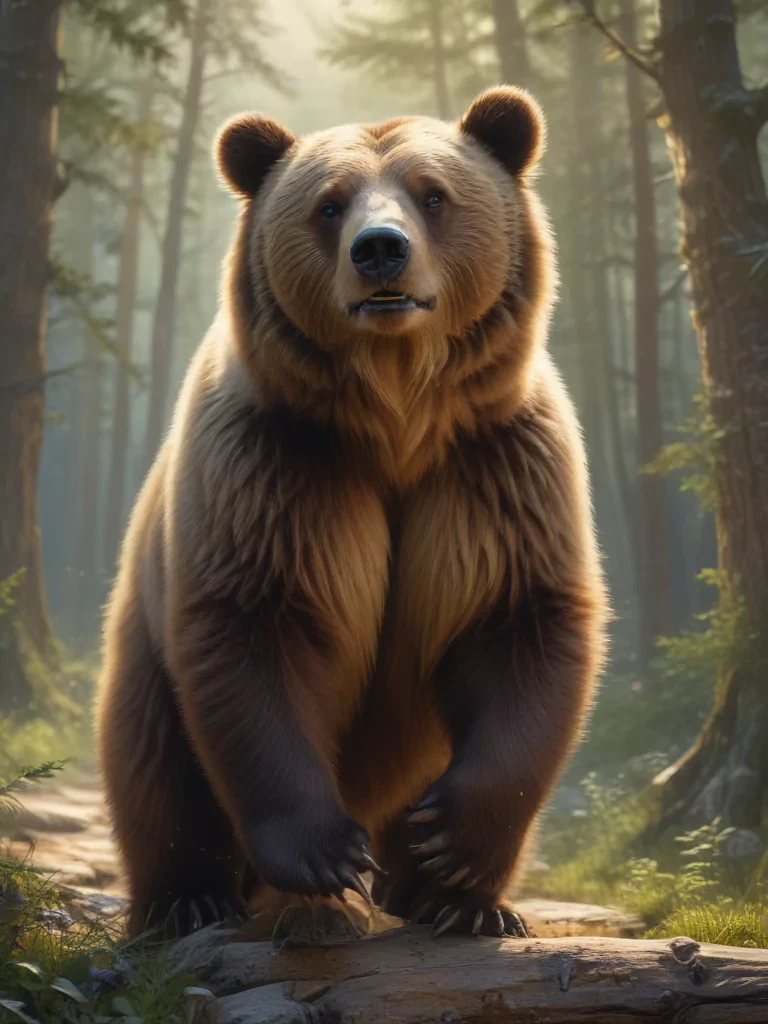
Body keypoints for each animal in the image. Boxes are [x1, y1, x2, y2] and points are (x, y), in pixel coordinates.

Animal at [95, 85, 608, 942]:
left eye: (433, 194)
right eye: (329, 205)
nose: (380, 252)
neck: (397, 418)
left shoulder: (496, 468)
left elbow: (518, 622)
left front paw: (453, 847)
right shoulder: (276, 467)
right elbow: (256, 631)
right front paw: (326, 854)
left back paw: (461, 903)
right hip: (144, 640)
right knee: (157, 764)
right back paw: (188, 898)